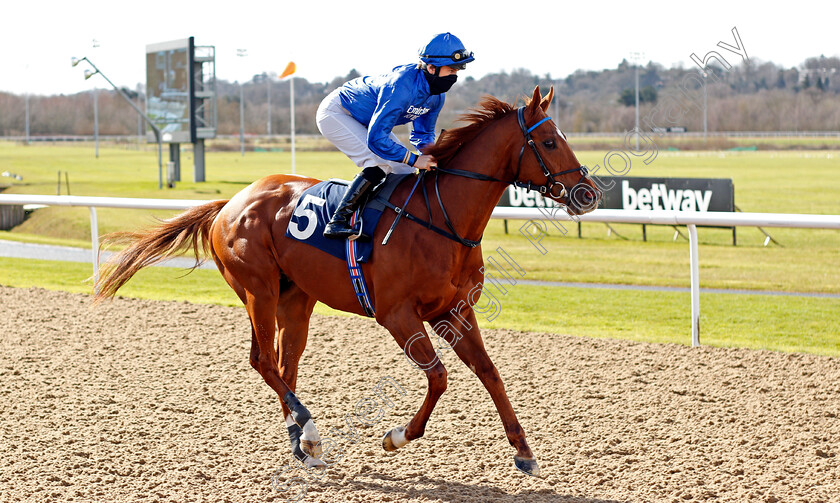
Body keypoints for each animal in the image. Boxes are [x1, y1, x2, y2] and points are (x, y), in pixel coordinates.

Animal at [95, 86, 600, 476]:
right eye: (549, 142)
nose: (589, 193)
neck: (442, 219)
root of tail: (230, 203)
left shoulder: (454, 310)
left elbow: (490, 373)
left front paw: (524, 452)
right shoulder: (398, 314)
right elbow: (438, 377)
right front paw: (397, 436)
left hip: (295, 298)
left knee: (286, 364)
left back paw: (302, 444)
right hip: (257, 289)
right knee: (263, 360)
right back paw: (311, 430)